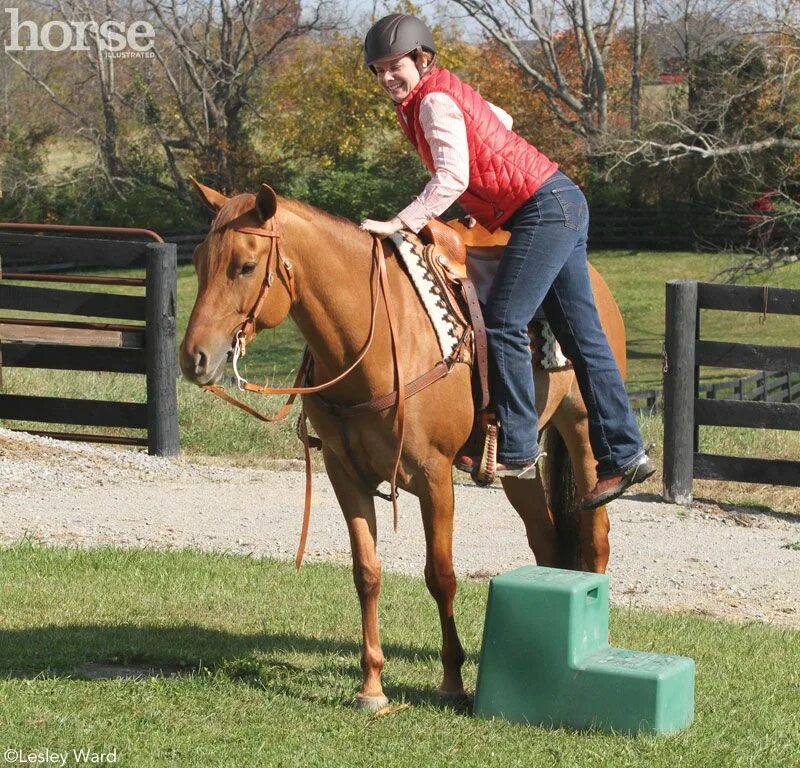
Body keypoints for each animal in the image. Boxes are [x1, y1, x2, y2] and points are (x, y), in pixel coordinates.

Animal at [180, 180, 624, 708]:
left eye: (246, 266)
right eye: (199, 259)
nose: (193, 357)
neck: (367, 345)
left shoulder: (435, 478)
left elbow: (441, 575)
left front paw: (452, 680)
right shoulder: (345, 474)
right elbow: (367, 572)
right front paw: (372, 686)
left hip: (581, 433)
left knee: (595, 539)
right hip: (521, 462)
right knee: (546, 538)